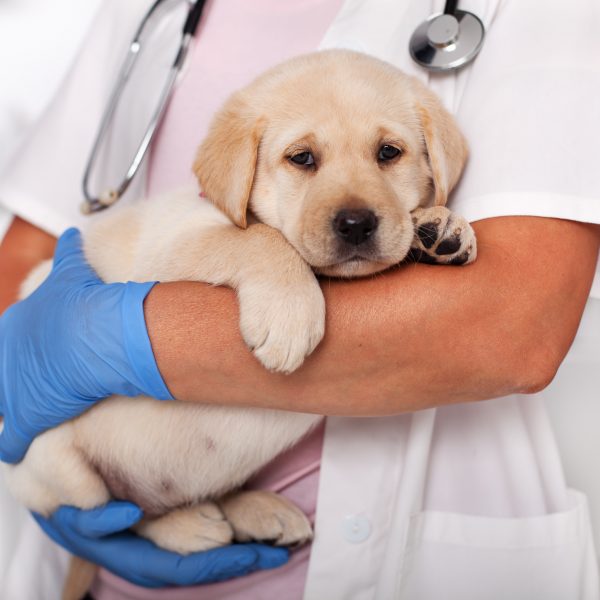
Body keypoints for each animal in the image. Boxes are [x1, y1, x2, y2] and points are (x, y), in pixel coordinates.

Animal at [2, 50, 476, 556]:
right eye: (302, 158)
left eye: (389, 152)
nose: (356, 224)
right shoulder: (166, 253)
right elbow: (261, 239)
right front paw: (289, 316)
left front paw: (439, 226)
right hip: (56, 465)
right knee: (115, 519)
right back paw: (188, 527)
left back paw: (256, 511)